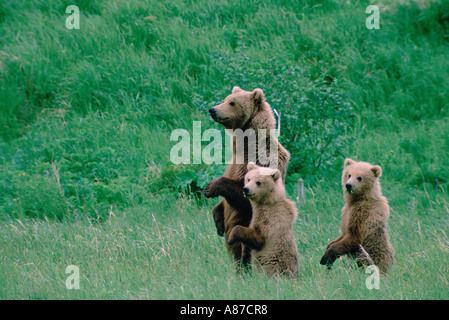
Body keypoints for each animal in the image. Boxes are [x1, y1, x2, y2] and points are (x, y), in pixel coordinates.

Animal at [204, 87, 290, 270]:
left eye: (232, 102)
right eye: (226, 99)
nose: (213, 110)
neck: (246, 144)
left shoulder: (261, 160)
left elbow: (245, 193)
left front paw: (210, 187)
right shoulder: (235, 162)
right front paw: (218, 222)